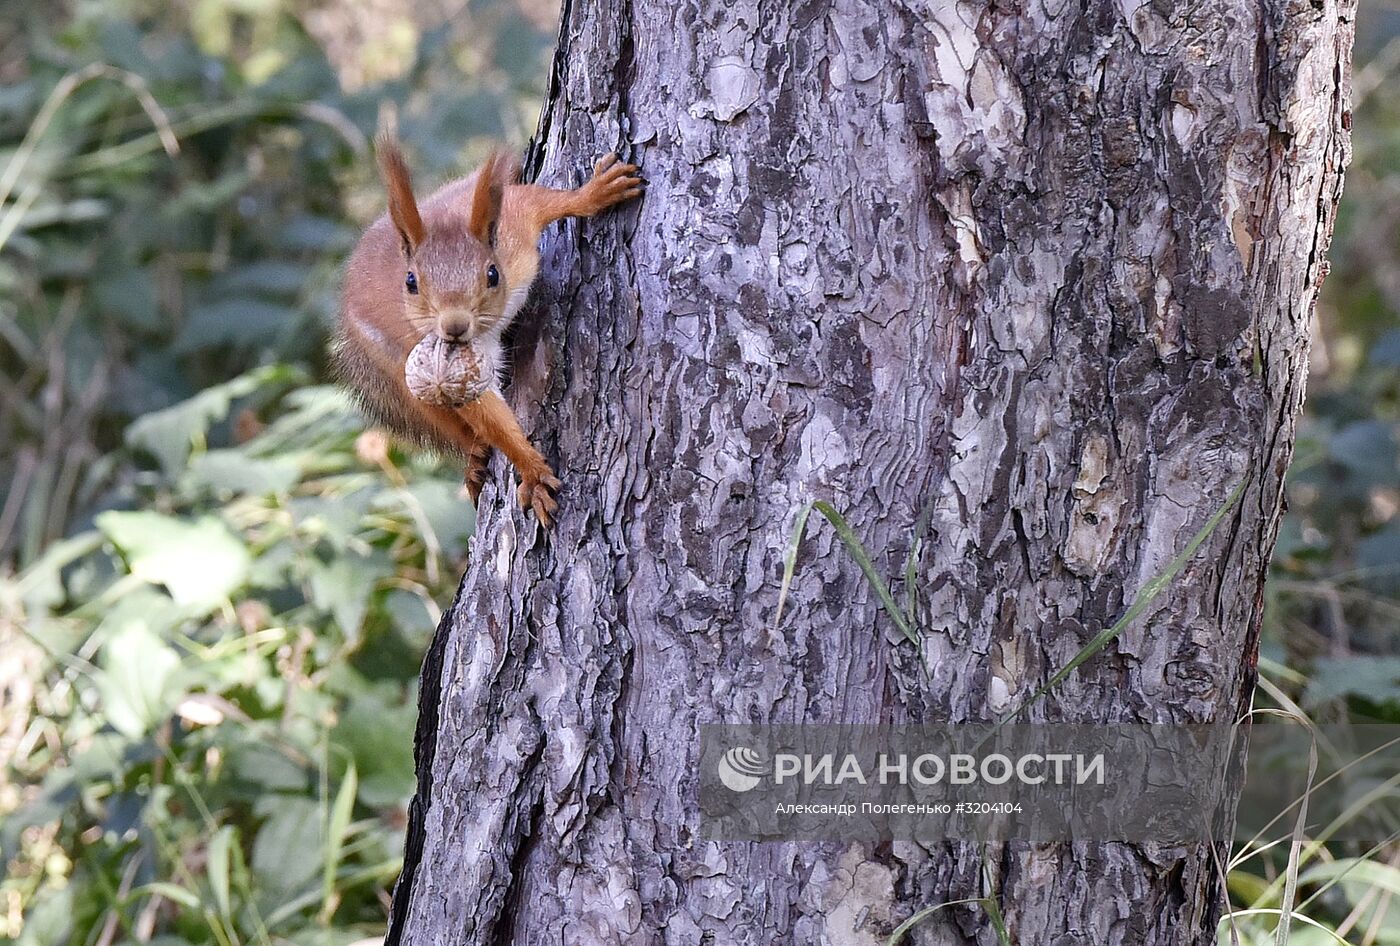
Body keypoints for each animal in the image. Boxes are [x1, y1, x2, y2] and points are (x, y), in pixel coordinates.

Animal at [333, 136, 644, 523]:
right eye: (411, 282)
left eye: (492, 274)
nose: (454, 326)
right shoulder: (455, 370)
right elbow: (490, 417)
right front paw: (531, 471)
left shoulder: (515, 228)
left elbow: (542, 200)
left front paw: (595, 193)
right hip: (399, 366)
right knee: (447, 420)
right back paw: (474, 455)